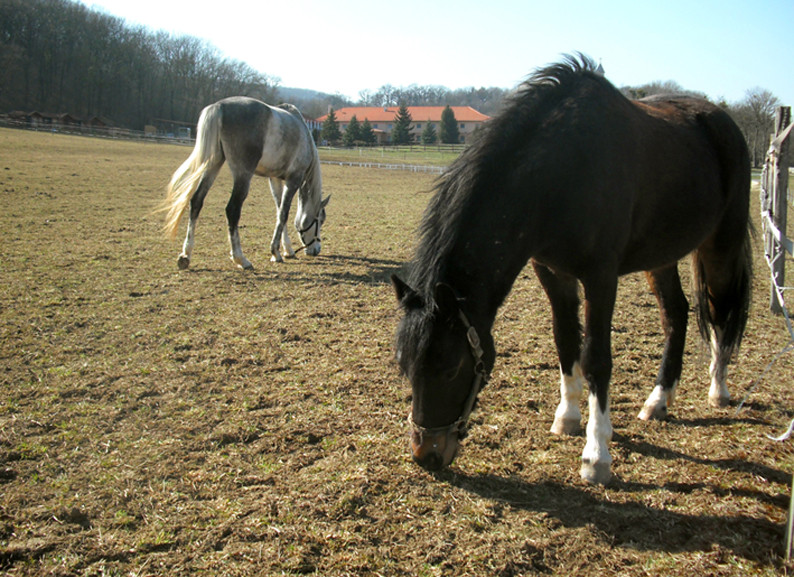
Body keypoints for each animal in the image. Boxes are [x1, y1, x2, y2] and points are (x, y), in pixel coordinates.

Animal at [390, 56, 748, 484]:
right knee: (676, 314)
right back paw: (658, 400)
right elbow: (564, 342)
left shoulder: (600, 277)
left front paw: (597, 454)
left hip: (721, 245)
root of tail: (722, 120)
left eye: (449, 368)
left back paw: (718, 388)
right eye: (406, 366)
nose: (426, 454)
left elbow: (596, 358)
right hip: (662, 255)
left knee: (721, 309)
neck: (562, 174)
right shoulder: (552, 273)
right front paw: (568, 417)